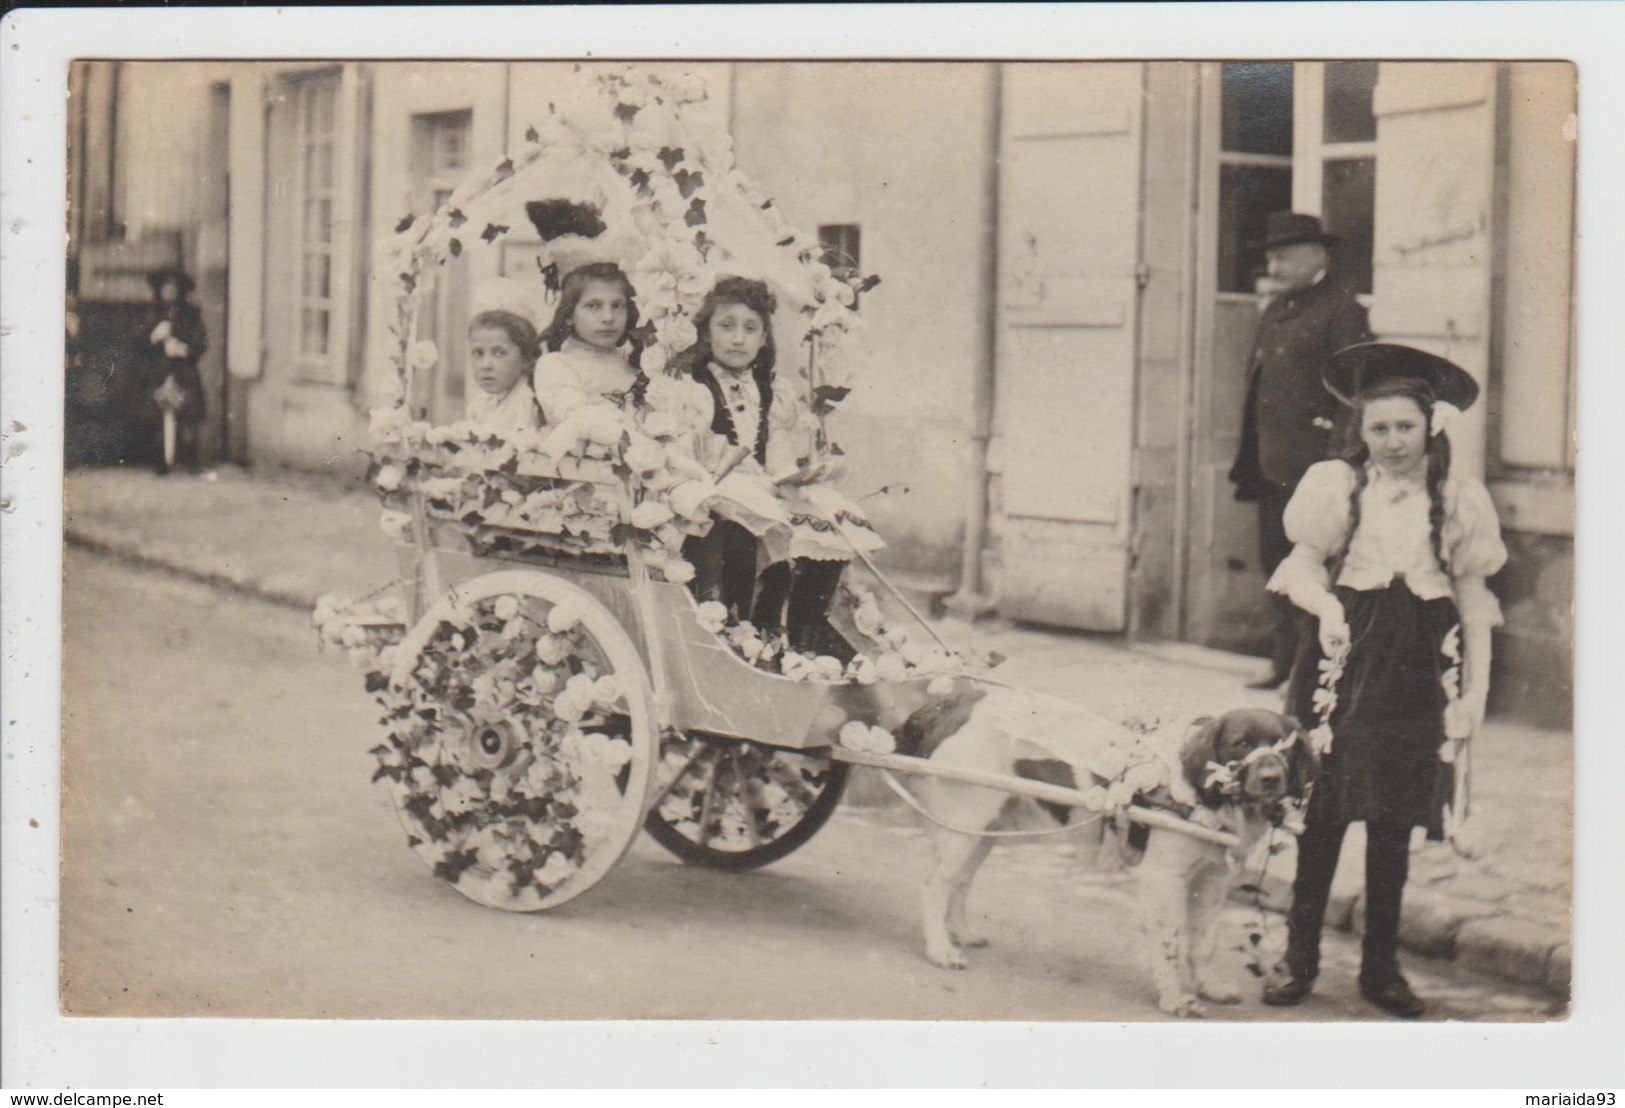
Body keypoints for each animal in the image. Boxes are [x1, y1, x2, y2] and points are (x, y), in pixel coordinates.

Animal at [910, 698, 1313, 1020]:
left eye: (1285, 747)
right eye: (1240, 744)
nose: (1271, 778)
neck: (1206, 796)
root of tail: (952, 708)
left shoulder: (1213, 879)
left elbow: (1205, 940)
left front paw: (1209, 986)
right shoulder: (1164, 878)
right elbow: (1170, 941)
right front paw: (1175, 999)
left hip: (984, 829)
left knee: (960, 882)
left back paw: (962, 934)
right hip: (963, 826)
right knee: (932, 886)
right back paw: (941, 950)